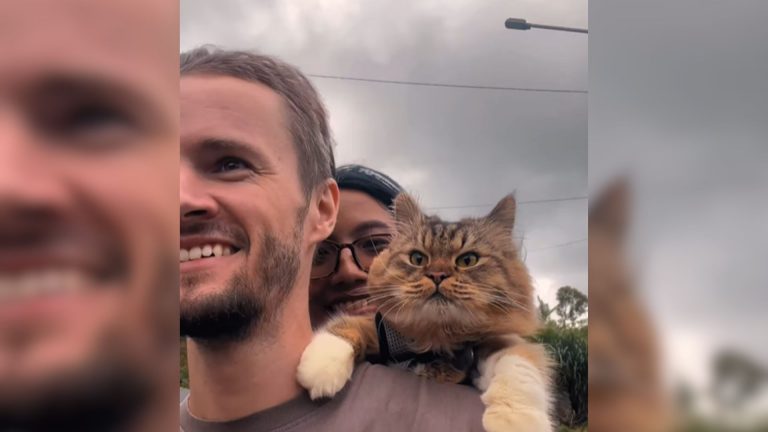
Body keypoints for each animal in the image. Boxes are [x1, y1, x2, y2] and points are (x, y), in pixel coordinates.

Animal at [296, 192, 556, 432]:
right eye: (417, 258)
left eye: (468, 260)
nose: (437, 275)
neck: (436, 340)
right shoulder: (384, 329)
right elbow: (352, 326)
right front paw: (321, 364)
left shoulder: (500, 341)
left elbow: (518, 364)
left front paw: (516, 419)